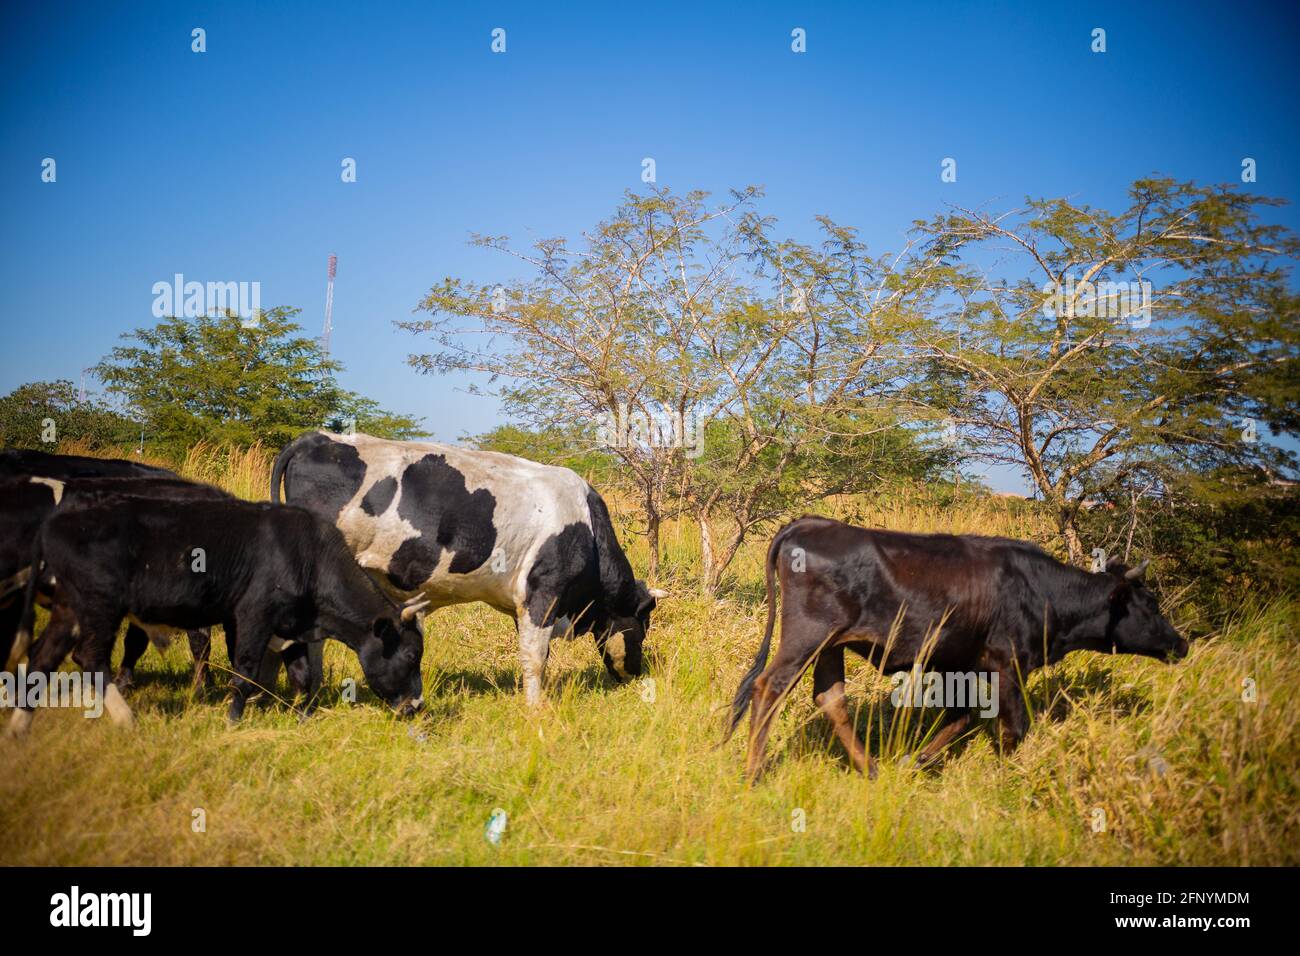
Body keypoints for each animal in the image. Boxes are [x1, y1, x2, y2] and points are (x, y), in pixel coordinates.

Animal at [7, 495, 426, 735]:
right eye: (410, 654)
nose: (417, 706)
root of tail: (57, 520)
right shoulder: (254, 614)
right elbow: (244, 672)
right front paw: (232, 721)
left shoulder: (292, 625)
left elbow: (303, 676)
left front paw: (302, 720)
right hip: (99, 603)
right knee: (89, 657)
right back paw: (127, 720)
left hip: (69, 605)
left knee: (45, 655)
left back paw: (19, 729)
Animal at [270, 431, 665, 705]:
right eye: (643, 627)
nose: (638, 672)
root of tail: (316, 438)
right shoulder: (544, 591)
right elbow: (536, 656)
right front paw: (536, 708)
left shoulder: (520, 603)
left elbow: (533, 653)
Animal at [725, 516, 1188, 780]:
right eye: (1150, 603)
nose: (1181, 644)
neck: (1041, 589)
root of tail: (808, 523)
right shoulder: (1008, 664)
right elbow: (1014, 727)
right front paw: (1006, 778)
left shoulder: (959, 663)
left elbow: (961, 715)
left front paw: (917, 761)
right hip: (807, 636)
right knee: (769, 688)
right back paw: (753, 773)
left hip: (830, 646)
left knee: (831, 698)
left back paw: (870, 768)